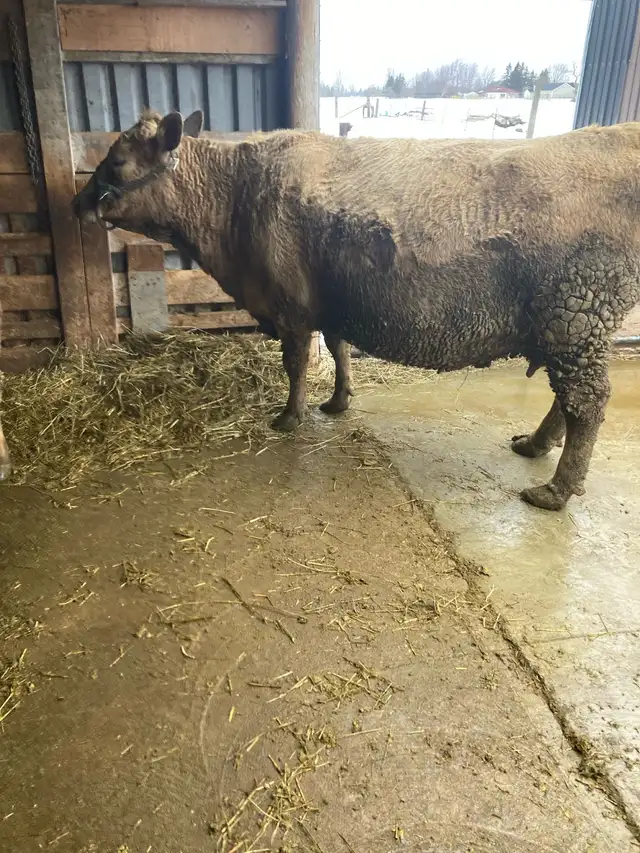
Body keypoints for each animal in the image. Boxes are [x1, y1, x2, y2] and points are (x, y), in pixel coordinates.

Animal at [72, 109, 640, 511]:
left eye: (117, 162)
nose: (76, 204)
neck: (233, 196)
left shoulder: (291, 305)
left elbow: (297, 362)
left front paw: (290, 416)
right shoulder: (330, 299)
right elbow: (339, 346)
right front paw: (338, 401)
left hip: (577, 311)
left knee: (587, 402)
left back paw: (556, 490)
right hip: (572, 323)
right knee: (568, 400)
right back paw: (535, 446)